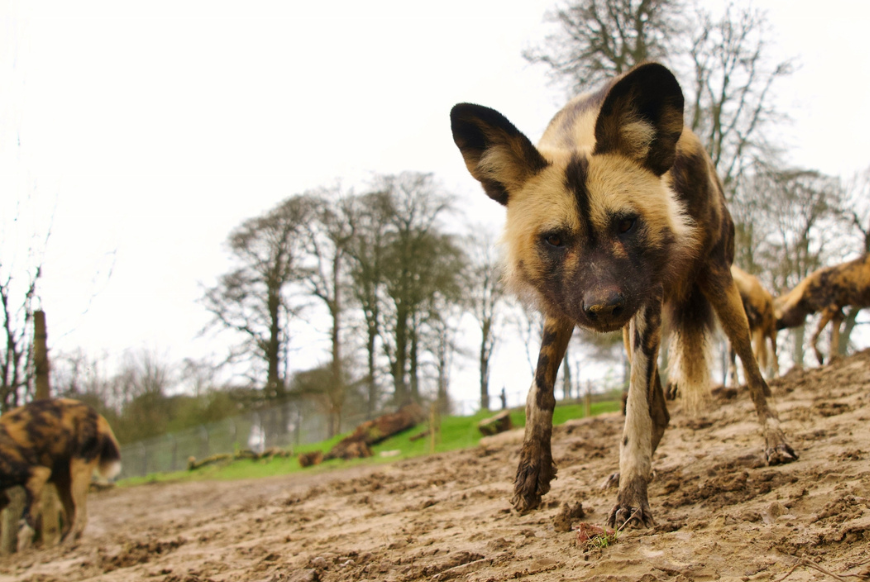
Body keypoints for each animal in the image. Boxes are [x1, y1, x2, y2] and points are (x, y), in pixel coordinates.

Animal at [0, 400, 122, 544]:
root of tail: (97, 414)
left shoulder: (38, 474)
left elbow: (26, 522)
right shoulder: (3, 499)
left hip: (78, 473)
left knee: (80, 513)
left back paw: (73, 540)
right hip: (61, 481)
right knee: (70, 514)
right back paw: (62, 542)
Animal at [454, 61, 800, 528]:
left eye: (626, 224)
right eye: (555, 239)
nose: (603, 307)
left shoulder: (645, 306)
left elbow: (633, 411)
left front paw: (633, 498)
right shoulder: (561, 307)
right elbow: (540, 389)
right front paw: (532, 470)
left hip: (719, 291)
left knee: (753, 375)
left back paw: (774, 442)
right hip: (627, 324)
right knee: (662, 411)